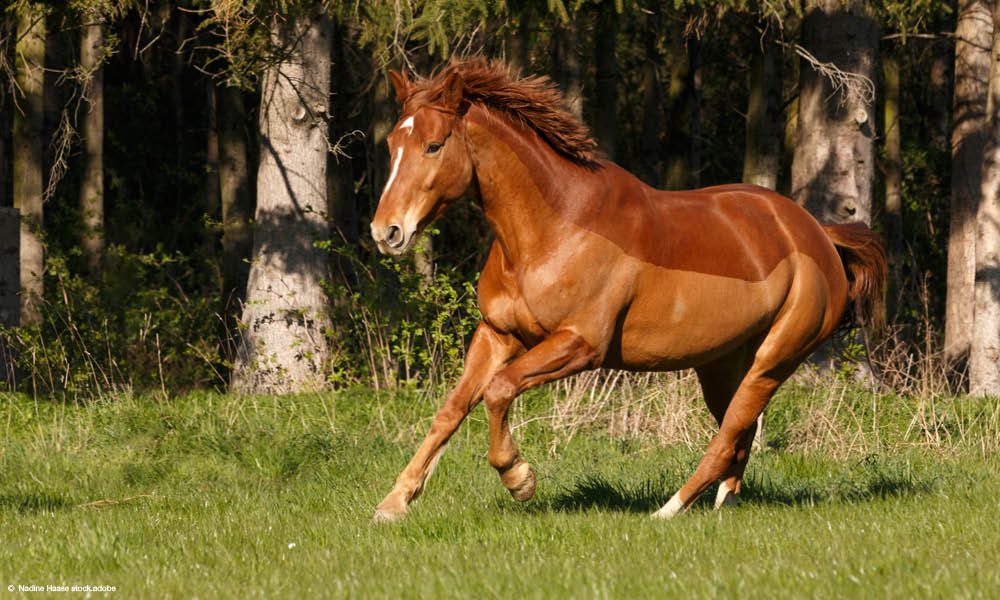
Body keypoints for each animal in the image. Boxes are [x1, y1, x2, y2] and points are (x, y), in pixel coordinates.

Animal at [368, 58, 884, 524]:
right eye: (392, 143)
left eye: (434, 145)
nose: (386, 232)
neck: (553, 228)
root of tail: (818, 235)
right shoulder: (497, 333)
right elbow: (451, 409)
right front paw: (393, 504)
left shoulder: (580, 345)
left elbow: (499, 390)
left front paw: (519, 478)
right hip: (722, 365)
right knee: (739, 434)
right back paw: (724, 504)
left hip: (773, 361)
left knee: (729, 435)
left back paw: (669, 509)